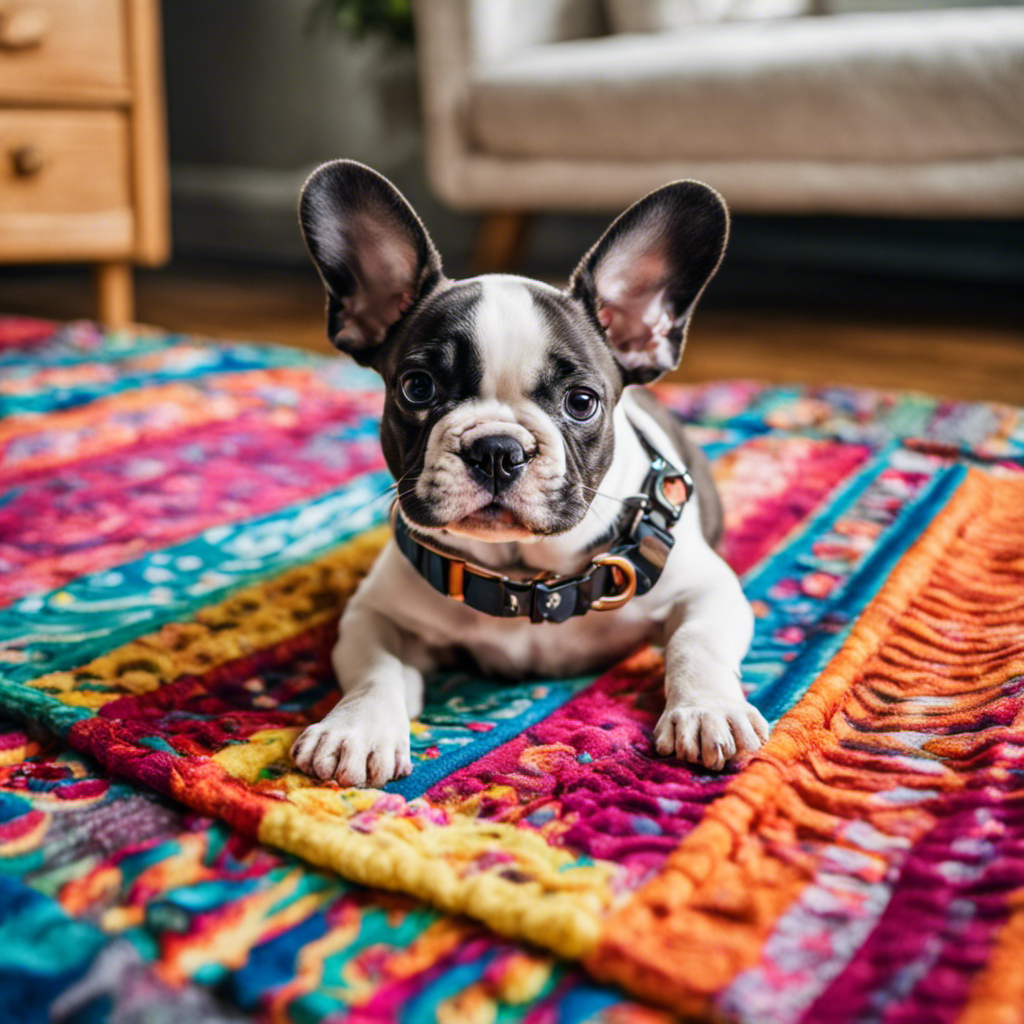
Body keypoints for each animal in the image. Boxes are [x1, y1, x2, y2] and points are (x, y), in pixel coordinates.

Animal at [290, 159, 770, 786]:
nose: (497, 448)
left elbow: (697, 643)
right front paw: (357, 728)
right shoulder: (374, 613)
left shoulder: (708, 589)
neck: (524, 577)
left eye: (582, 402)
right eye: (417, 388)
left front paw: (709, 710)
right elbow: (377, 668)